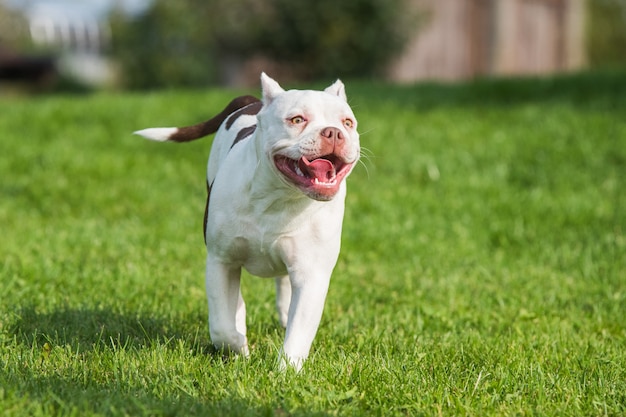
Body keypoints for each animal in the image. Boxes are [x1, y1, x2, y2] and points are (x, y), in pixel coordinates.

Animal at [135, 73, 360, 368]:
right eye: (297, 119)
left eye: (348, 122)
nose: (333, 132)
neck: (279, 198)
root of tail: (252, 102)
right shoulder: (222, 261)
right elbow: (222, 325)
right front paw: (238, 348)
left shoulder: (312, 274)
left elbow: (298, 333)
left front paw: (285, 372)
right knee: (236, 303)